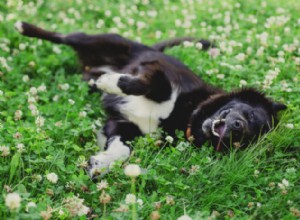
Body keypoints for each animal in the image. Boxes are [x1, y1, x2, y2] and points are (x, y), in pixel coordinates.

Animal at [15, 21, 288, 177]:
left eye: (248, 138)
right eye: (249, 114)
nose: (238, 127)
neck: (186, 115)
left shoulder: (125, 125)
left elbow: (123, 149)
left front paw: (101, 163)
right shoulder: (157, 70)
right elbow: (150, 85)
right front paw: (111, 83)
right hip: (107, 41)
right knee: (66, 36)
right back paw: (24, 26)